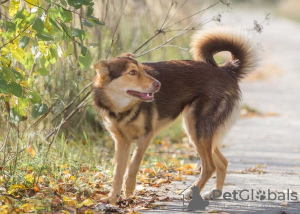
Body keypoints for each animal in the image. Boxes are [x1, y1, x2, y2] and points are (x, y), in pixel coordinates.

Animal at [92, 26, 258, 202]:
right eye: (132, 72)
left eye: (142, 70)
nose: (158, 84)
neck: (121, 108)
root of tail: (225, 70)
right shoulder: (122, 141)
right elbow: (118, 172)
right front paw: (112, 198)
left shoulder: (146, 136)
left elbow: (133, 164)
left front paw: (129, 188)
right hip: (202, 133)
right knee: (222, 163)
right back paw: (214, 192)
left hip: (195, 128)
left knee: (209, 166)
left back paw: (191, 192)